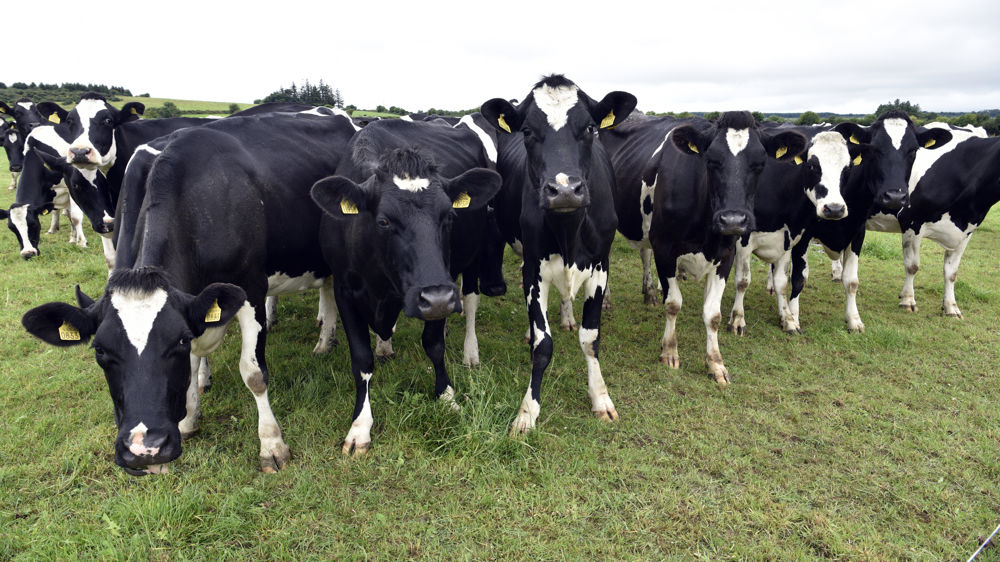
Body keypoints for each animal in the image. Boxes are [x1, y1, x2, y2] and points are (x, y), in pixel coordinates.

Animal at [21, 111, 357, 475]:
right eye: (99, 351)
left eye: (176, 343)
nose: (145, 450)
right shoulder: (192, 304)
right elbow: (194, 365)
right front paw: (190, 419)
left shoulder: (251, 289)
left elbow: (253, 373)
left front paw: (272, 444)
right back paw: (324, 342)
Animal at [311, 147, 500, 455]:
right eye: (384, 221)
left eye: (449, 216)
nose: (436, 298)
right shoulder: (344, 290)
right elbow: (361, 359)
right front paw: (360, 425)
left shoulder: (444, 286)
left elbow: (434, 346)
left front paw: (446, 396)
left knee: (471, 302)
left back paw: (470, 352)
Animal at [479, 74, 636, 432]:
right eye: (527, 131)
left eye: (591, 128)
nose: (564, 190)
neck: (569, 232)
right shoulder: (533, 268)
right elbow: (542, 342)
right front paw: (527, 412)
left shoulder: (601, 265)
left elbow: (591, 337)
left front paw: (601, 398)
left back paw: (566, 316)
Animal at [601, 112, 807, 386]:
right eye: (710, 161)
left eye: (760, 163)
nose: (733, 220)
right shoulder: (665, 250)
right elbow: (673, 304)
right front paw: (670, 351)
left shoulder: (725, 255)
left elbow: (713, 315)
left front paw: (716, 363)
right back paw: (606, 300)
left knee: (644, 253)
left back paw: (649, 294)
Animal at [784, 111, 952, 332]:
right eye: (875, 149)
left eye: (913, 150)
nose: (895, 197)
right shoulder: (803, 234)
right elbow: (799, 278)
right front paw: (792, 317)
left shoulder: (857, 232)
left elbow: (851, 281)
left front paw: (854, 319)